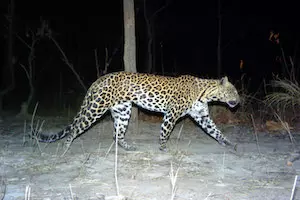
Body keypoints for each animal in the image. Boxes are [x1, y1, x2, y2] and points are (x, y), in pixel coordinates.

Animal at [39, 71, 239, 154]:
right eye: (233, 91)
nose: (238, 101)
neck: (205, 93)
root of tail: (100, 79)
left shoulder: (202, 116)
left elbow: (215, 131)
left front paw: (229, 143)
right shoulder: (171, 114)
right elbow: (165, 131)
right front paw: (163, 147)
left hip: (123, 111)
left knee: (117, 134)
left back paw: (128, 147)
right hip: (96, 108)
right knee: (76, 128)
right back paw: (65, 147)